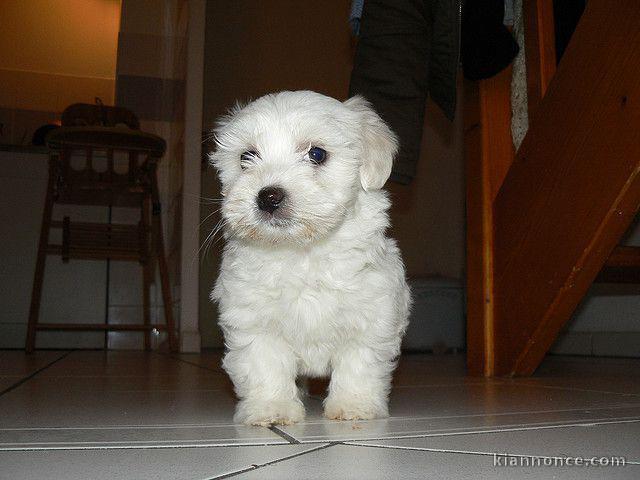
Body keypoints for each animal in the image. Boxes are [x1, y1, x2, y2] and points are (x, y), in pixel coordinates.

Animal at [210, 91, 410, 428]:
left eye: (317, 154)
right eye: (246, 156)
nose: (268, 197)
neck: (303, 253)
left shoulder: (371, 314)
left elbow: (359, 363)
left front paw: (354, 406)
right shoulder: (254, 321)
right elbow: (264, 364)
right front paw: (272, 408)